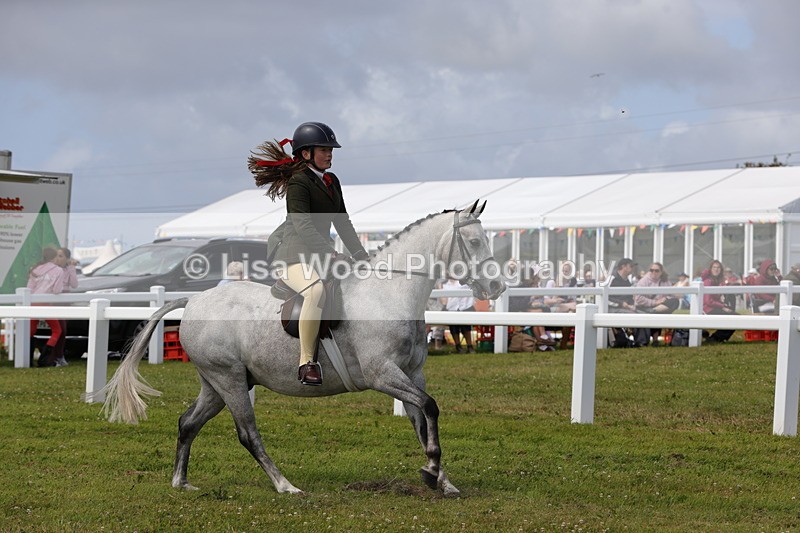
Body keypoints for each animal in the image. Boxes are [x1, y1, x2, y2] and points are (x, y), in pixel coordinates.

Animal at [102, 202, 506, 497]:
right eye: (473, 243)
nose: (496, 287)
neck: (390, 291)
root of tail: (195, 300)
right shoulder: (383, 375)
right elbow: (430, 407)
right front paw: (433, 470)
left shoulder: (411, 374)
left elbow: (422, 420)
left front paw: (440, 478)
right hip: (228, 379)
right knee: (247, 434)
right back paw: (285, 485)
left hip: (216, 384)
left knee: (188, 423)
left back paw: (181, 482)